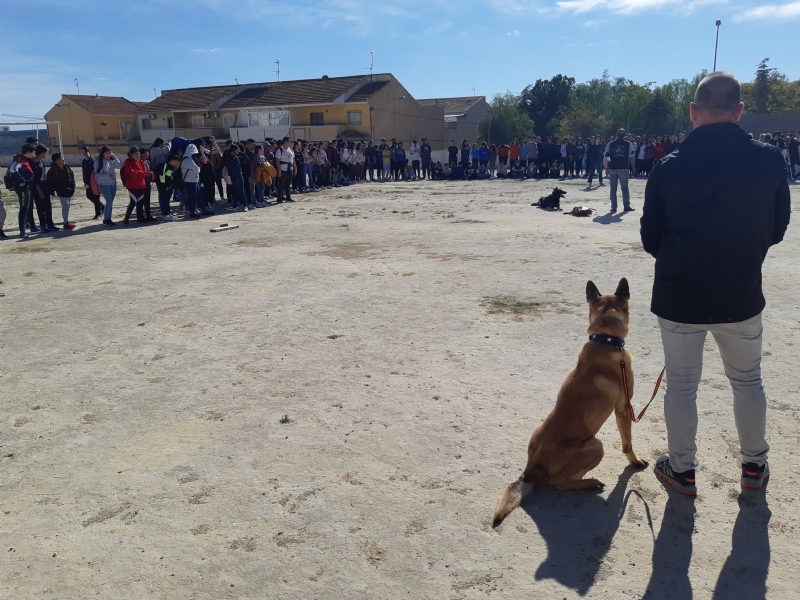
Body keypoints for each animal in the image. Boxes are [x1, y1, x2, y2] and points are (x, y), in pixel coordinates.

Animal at [494, 278, 648, 528]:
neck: (604, 340)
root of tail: (530, 469)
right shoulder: (624, 410)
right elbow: (628, 445)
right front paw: (635, 462)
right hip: (596, 445)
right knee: (559, 483)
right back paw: (589, 483)